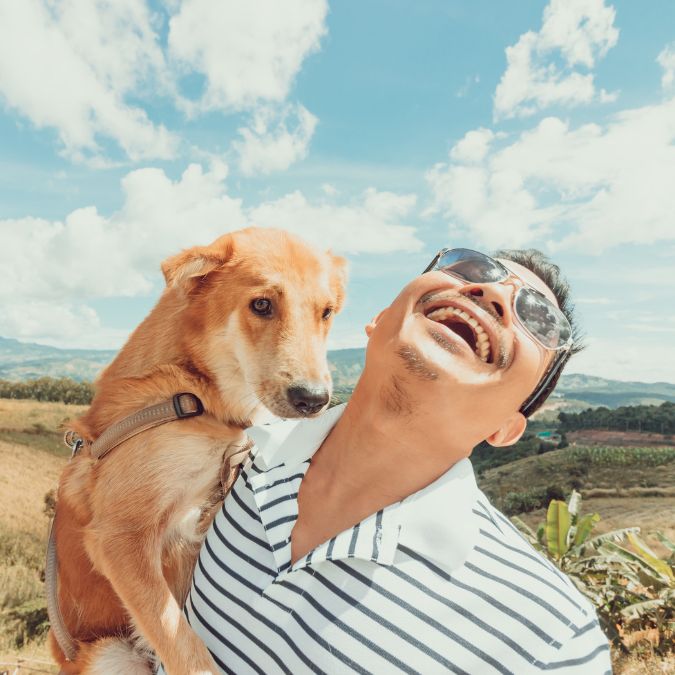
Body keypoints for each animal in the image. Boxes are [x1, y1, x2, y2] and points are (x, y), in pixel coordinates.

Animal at [48, 228, 348, 675]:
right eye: (261, 304)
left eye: (326, 312)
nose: (314, 400)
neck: (194, 393)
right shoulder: (121, 536)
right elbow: (183, 645)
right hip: (109, 653)